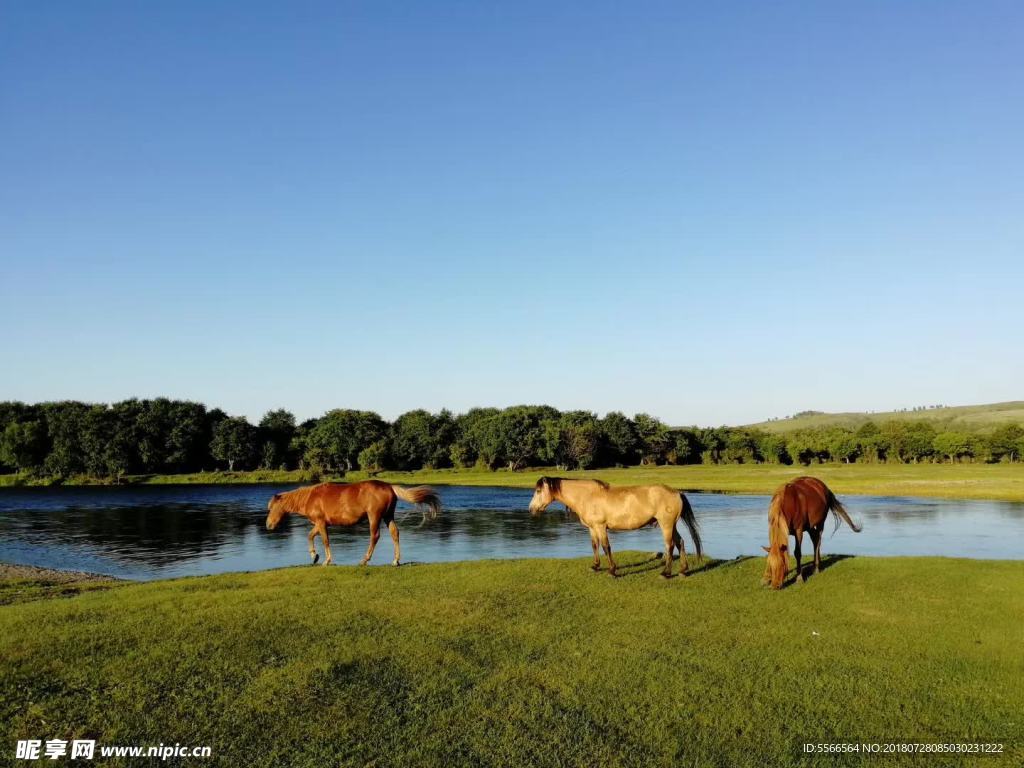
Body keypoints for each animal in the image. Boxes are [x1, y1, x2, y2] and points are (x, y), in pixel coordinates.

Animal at [264, 483, 440, 569]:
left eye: (271, 508)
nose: (268, 525)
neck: (310, 498)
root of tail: (390, 487)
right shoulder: (320, 524)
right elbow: (310, 536)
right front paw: (314, 556)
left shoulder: (321, 523)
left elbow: (325, 541)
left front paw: (326, 560)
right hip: (388, 516)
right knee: (394, 533)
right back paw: (395, 560)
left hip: (374, 517)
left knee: (375, 536)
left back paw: (364, 560)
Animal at [528, 475, 704, 577]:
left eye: (538, 491)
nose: (531, 509)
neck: (587, 496)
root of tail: (677, 492)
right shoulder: (592, 528)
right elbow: (595, 545)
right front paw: (595, 566)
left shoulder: (600, 527)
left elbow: (606, 547)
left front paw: (612, 570)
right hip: (671, 525)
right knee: (680, 542)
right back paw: (683, 570)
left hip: (666, 524)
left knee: (670, 545)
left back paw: (666, 573)